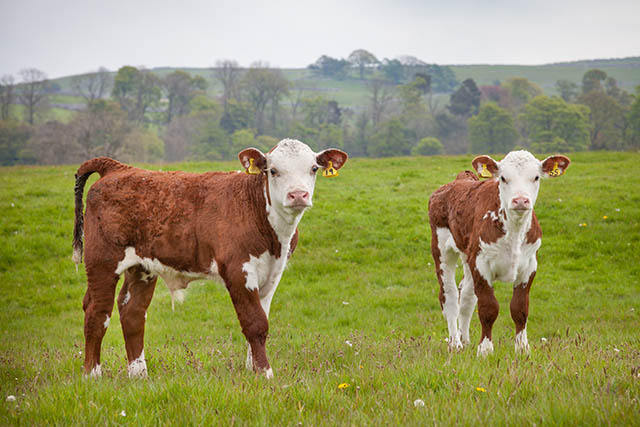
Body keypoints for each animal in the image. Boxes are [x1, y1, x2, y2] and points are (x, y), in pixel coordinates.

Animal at [72, 140, 348, 378]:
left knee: (132, 311)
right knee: (97, 311)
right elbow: (255, 323)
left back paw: (139, 375)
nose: (298, 195)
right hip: (102, 262)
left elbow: (263, 320)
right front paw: (265, 373)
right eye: (273, 170)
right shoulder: (238, 269)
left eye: (313, 168)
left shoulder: (273, 271)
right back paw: (92, 374)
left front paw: (253, 370)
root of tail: (118, 168)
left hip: (142, 266)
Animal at [430, 152, 568, 356]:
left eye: (536, 177)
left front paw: (522, 348)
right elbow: (488, 308)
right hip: (442, 249)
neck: (514, 231)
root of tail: (460, 180)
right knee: (450, 295)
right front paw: (485, 350)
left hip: (467, 255)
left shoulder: (529, 265)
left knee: (467, 296)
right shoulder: (481, 263)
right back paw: (455, 343)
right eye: (503, 178)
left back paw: (465, 340)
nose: (520, 200)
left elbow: (520, 308)